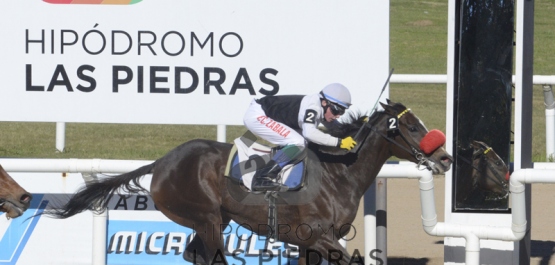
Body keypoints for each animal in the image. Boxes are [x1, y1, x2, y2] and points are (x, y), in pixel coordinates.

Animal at [45, 99, 454, 264]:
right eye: (412, 127)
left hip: (213, 219)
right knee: (208, 256)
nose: (446, 158)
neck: (338, 173)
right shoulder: (319, 236)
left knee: (194, 255)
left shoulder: (309, 243)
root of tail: (163, 161)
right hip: (207, 218)